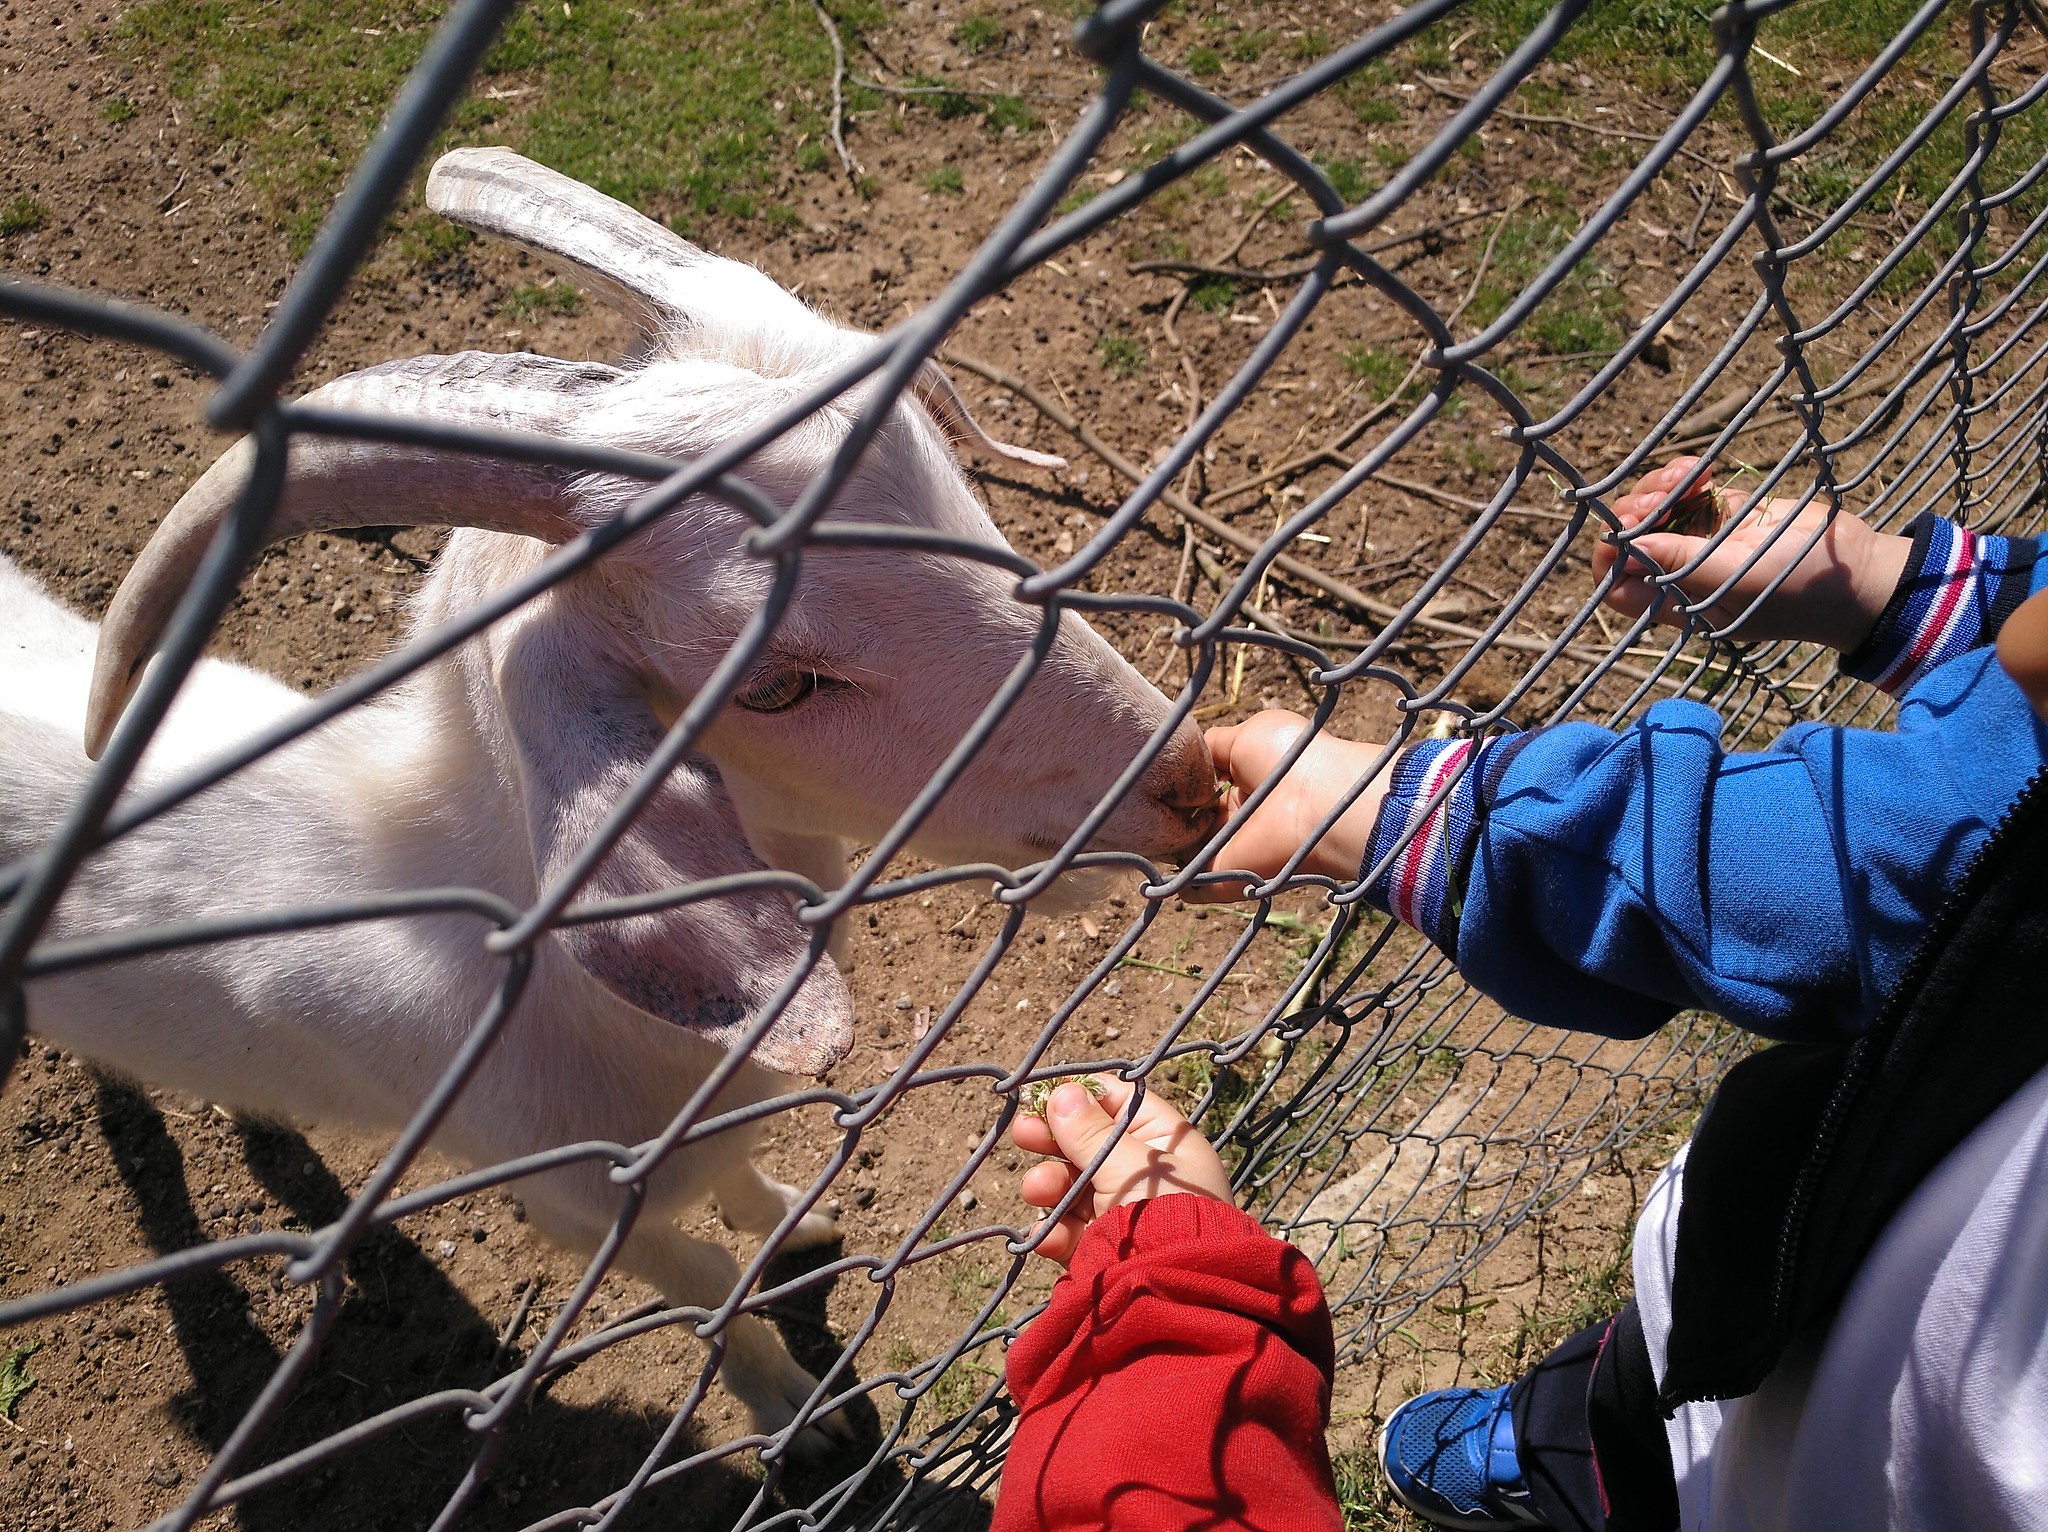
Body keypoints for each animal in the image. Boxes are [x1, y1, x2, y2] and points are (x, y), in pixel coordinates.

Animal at [4, 149, 1212, 1458]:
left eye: (956, 492)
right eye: (778, 681)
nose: (1188, 783)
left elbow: (739, 1193)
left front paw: (794, 1219)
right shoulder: (575, 1205)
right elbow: (703, 1288)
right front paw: (793, 1412)